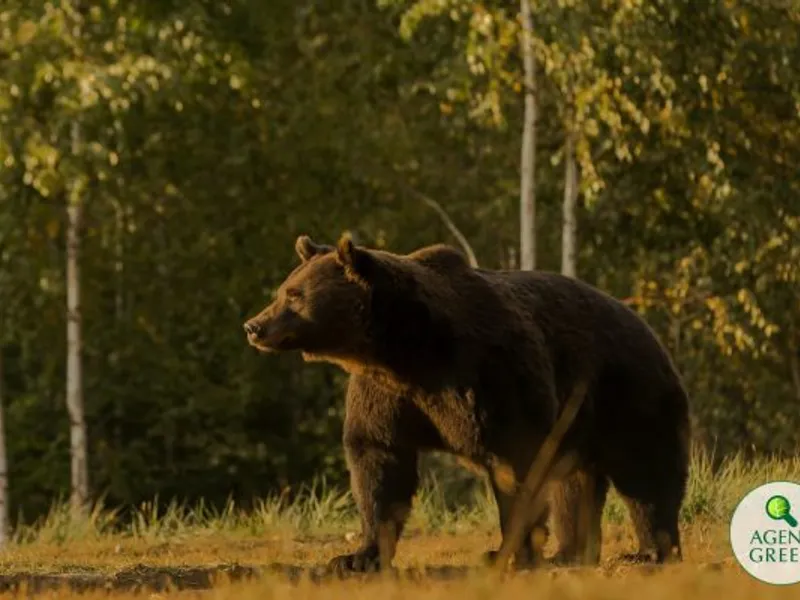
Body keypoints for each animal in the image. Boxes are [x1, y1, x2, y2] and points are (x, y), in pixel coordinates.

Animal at [241, 233, 692, 572]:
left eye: (294, 295)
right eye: (282, 291)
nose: (254, 325)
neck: (407, 350)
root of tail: (643, 324)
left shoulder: (490, 374)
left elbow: (517, 465)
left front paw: (508, 551)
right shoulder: (385, 394)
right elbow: (378, 462)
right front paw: (357, 556)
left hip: (628, 391)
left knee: (646, 471)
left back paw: (650, 551)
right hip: (579, 420)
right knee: (576, 484)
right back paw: (570, 553)